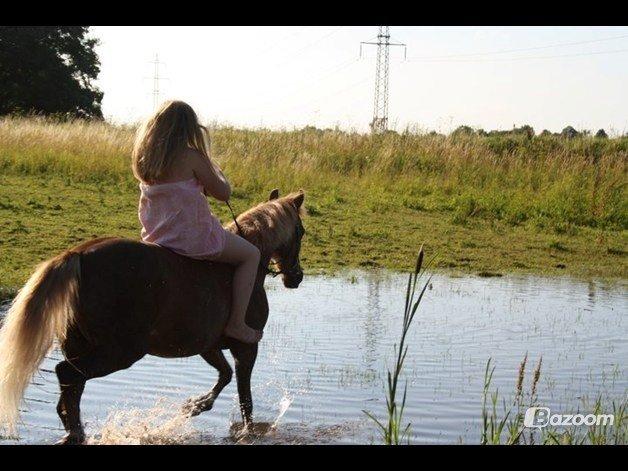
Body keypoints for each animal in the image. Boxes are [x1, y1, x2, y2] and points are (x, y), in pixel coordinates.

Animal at [0, 187, 306, 442]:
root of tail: (78, 254)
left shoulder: (207, 346)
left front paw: (195, 406)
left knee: (71, 386)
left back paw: (73, 433)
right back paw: (76, 433)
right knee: (67, 375)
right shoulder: (246, 347)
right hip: (120, 351)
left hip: (80, 345)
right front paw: (246, 432)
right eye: (301, 232)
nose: (297, 277)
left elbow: (225, 375)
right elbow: (245, 398)